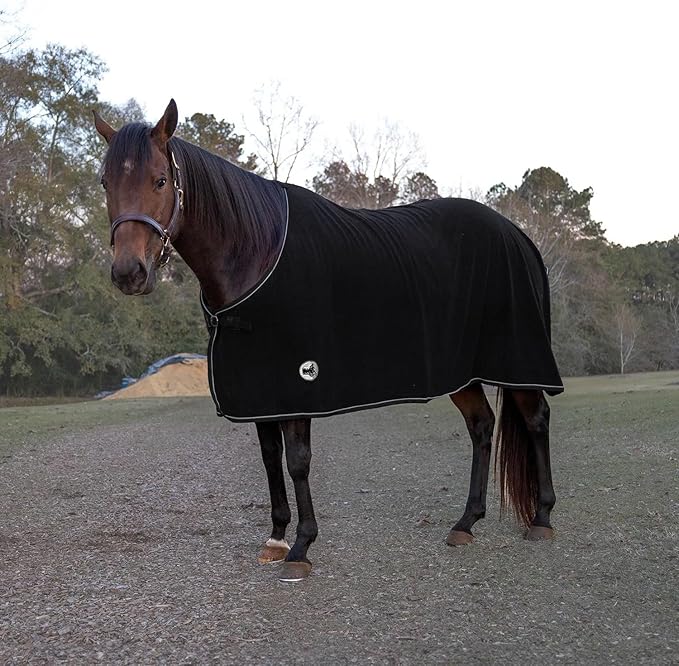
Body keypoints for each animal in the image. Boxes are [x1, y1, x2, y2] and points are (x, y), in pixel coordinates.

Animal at [93, 99, 562, 582]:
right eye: (106, 182)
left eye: (160, 180)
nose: (129, 273)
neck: (256, 252)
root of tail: (518, 235)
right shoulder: (261, 387)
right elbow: (270, 457)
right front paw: (276, 538)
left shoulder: (300, 382)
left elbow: (298, 461)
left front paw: (302, 547)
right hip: (461, 372)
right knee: (482, 426)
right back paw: (466, 522)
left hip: (518, 360)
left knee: (536, 419)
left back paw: (542, 518)